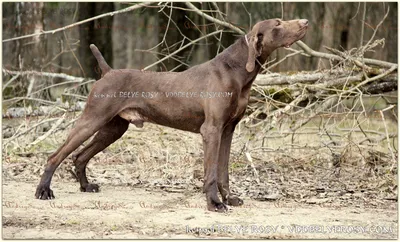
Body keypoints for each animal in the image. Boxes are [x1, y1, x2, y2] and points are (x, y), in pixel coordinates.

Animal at [35, 18, 310, 212]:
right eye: (278, 24)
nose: (305, 23)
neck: (236, 71)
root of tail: (107, 71)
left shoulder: (228, 130)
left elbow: (223, 172)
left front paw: (229, 198)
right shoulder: (211, 130)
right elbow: (211, 173)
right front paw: (214, 203)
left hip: (113, 128)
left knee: (80, 156)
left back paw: (85, 186)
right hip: (92, 120)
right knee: (55, 156)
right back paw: (43, 191)